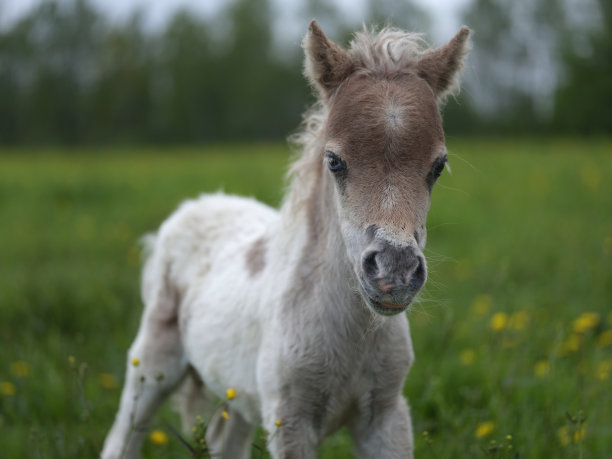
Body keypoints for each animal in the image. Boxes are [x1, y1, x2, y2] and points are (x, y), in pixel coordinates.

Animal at [103, 19, 470, 458]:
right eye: (335, 161)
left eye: (438, 165)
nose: (394, 271)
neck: (349, 335)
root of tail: (194, 206)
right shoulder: (289, 421)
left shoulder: (386, 416)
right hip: (152, 365)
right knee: (122, 436)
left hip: (238, 398)